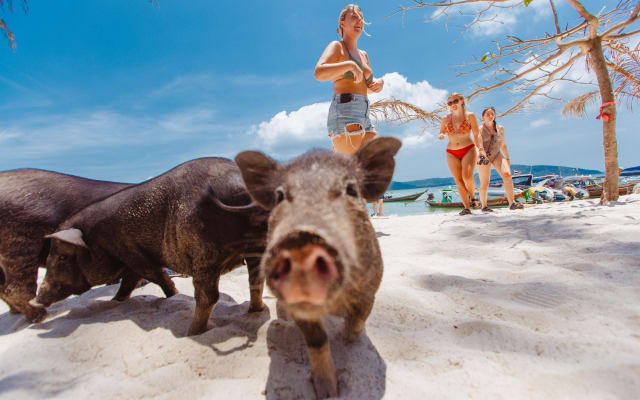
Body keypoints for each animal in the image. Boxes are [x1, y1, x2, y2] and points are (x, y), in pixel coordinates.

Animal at [36, 157, 269, 335]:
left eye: (62, 256)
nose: (37, 300)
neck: (96, 239)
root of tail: (239, 185)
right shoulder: (130, 258)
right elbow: (129, 283)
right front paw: (116, 300)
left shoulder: (131, 251)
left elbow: (155, 275)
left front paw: (172, 295)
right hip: (254, 246)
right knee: (255, 281)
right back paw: (255, 310)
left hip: (204, 250)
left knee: (208, 295)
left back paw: (191, 332)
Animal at [234, 137, 401, 398]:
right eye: (280, 196)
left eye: (351, 190)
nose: (301, 240)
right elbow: (317, 340)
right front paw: (327, 392)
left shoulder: (370, 288)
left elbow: (357, 322)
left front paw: (348, 339)